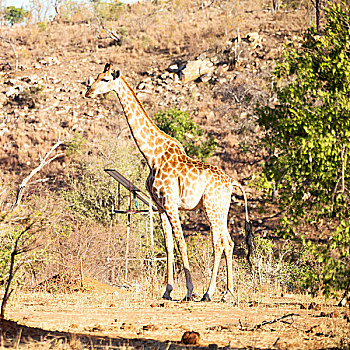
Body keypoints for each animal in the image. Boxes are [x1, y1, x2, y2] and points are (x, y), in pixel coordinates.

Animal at [85, 63, 252, 300]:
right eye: (97, 76)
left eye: (106, 80)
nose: (88, 92)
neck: (152, 155)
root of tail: (232, 182)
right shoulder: (160, 206)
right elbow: (168, 246)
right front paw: (167, 290)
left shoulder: (171, 203)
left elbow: (181, 243)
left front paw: (189, 291)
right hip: (221, 209)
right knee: (228, 242)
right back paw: (227, 292)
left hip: (211, 207)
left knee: (218, 243)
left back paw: (208, 293)